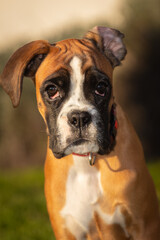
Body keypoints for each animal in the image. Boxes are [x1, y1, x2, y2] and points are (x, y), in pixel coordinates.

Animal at [0, 27, 160, 239]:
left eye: (101, 87)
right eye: (52, 90)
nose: (79, 117)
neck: (87, 162)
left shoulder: (144, 226)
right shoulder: (66, 230)